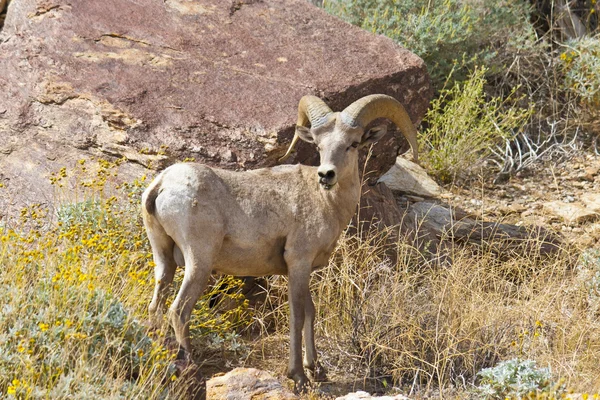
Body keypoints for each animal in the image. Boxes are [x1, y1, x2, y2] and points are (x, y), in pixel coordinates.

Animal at [143, 94, 420, 390]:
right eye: (319, 146)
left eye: (353, 144)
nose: (326, 175)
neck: (326, 202)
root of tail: (161, 185)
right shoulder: (298, 262)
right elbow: (297, 315)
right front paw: (298, 375)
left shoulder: (302, 269)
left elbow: (310, 311)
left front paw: (317, 369)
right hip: (199, 262)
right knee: (178, 311)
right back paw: (189, 366)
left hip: (164, 260)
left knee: (156, 305)